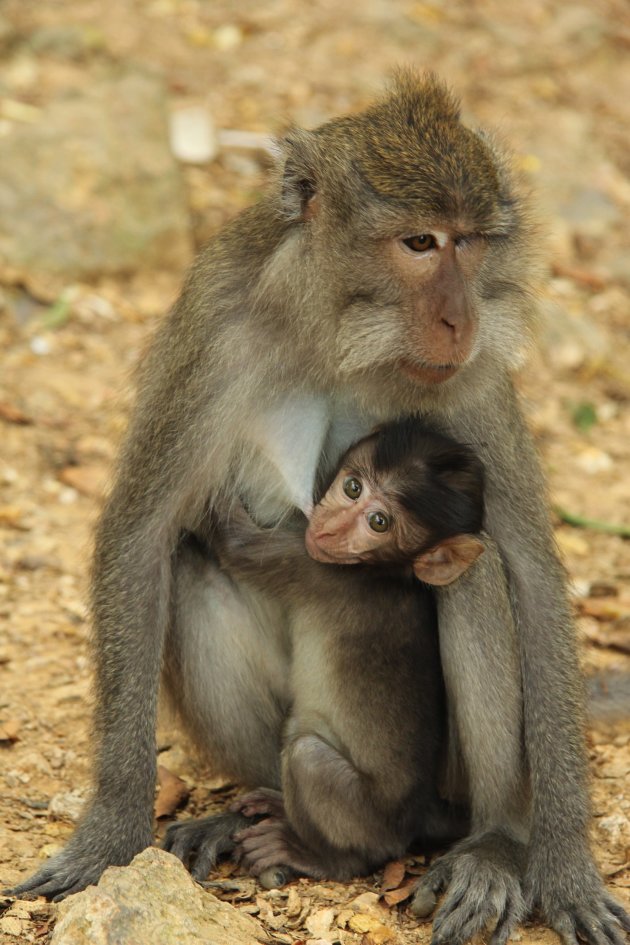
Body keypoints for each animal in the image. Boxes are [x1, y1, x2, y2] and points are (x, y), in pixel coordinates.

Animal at [163, 420, 484, 884]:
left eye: (379, 522)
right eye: (353, 487)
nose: (330, 528)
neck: (387, 572)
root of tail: (419, 813)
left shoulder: (309, 564)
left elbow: (232, 540)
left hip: (366, 819)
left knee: (311, 763)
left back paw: (316, 855)